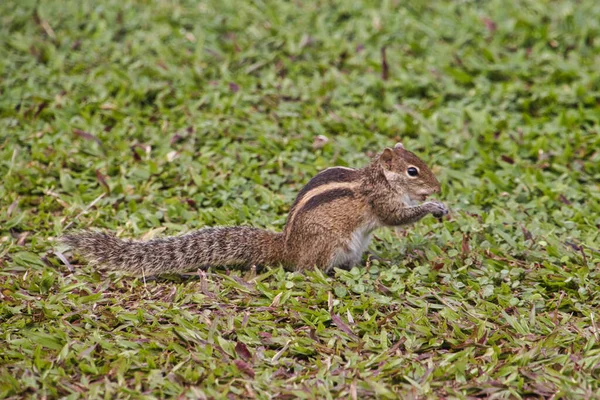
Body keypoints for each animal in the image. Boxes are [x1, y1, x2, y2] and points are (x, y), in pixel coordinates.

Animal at [63, 142, 448, 276]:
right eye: (413, 171)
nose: (438, 187)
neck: (380, 177)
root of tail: (286, 248)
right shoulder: (381, 202)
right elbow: (395, 218)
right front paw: (434, 205)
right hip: (328, 246)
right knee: (306, 270)